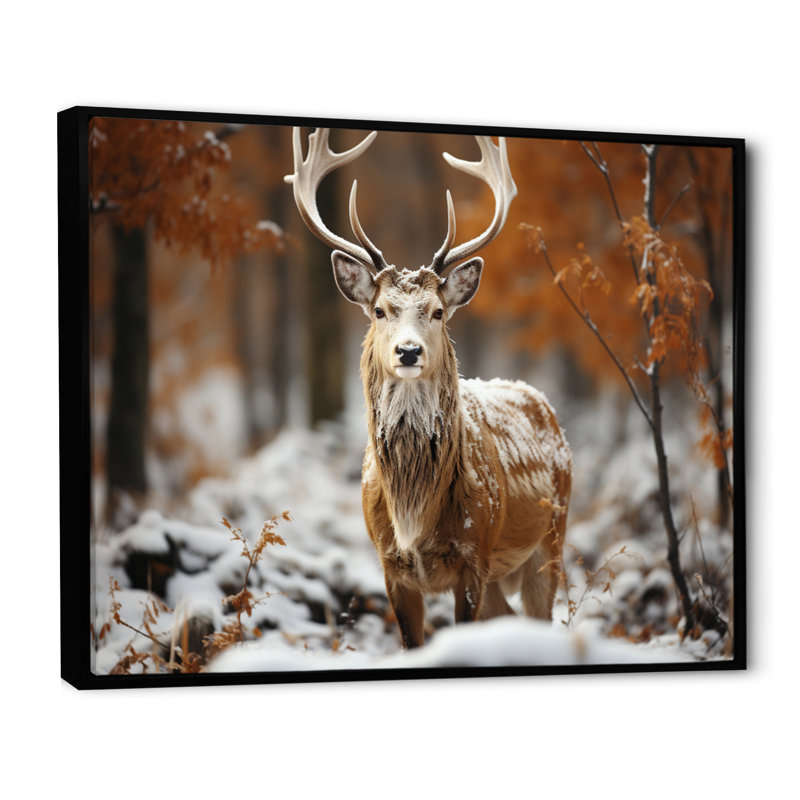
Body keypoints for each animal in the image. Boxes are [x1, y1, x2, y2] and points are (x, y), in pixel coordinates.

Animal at [285, 128, 572, 649]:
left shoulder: (474, 554)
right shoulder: (389, 564)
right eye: (380, 309)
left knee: (541, 615)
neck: (414, 517)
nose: (408, 351)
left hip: (551, 535)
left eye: (437, 311)